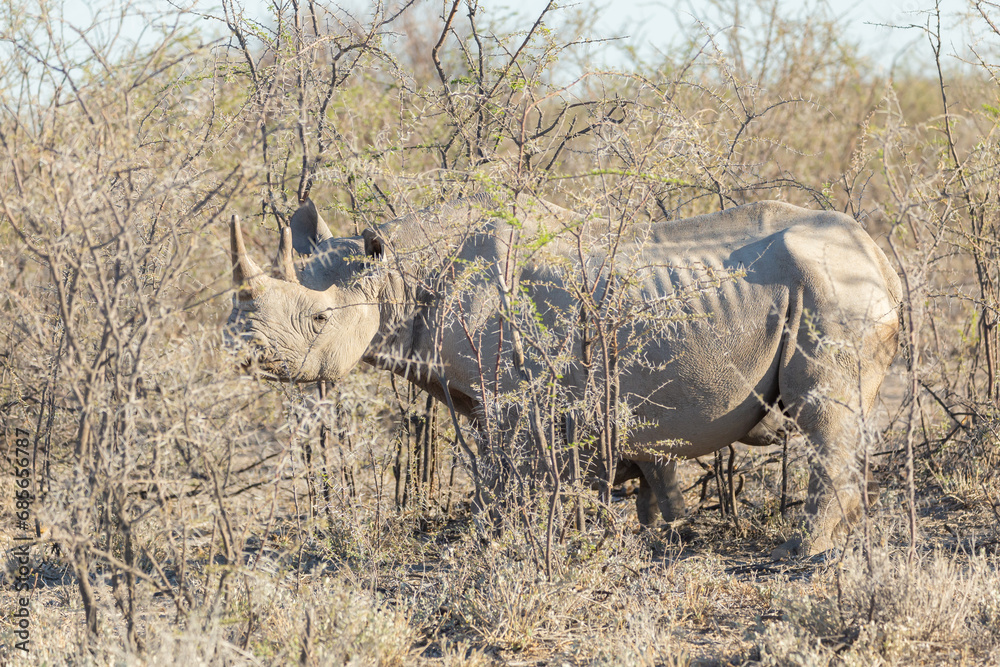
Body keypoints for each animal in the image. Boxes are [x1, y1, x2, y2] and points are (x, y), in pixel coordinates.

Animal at [226, 193, 901, 557]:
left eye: (319, 319)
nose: (241, 350)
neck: (395, 274)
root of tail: (881, 258)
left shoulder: (513, 394)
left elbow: (503, 472)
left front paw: (489, 541)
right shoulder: (481, 393)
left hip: (832, 287)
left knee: (825, 415)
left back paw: (801, 551)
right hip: (832, 285)